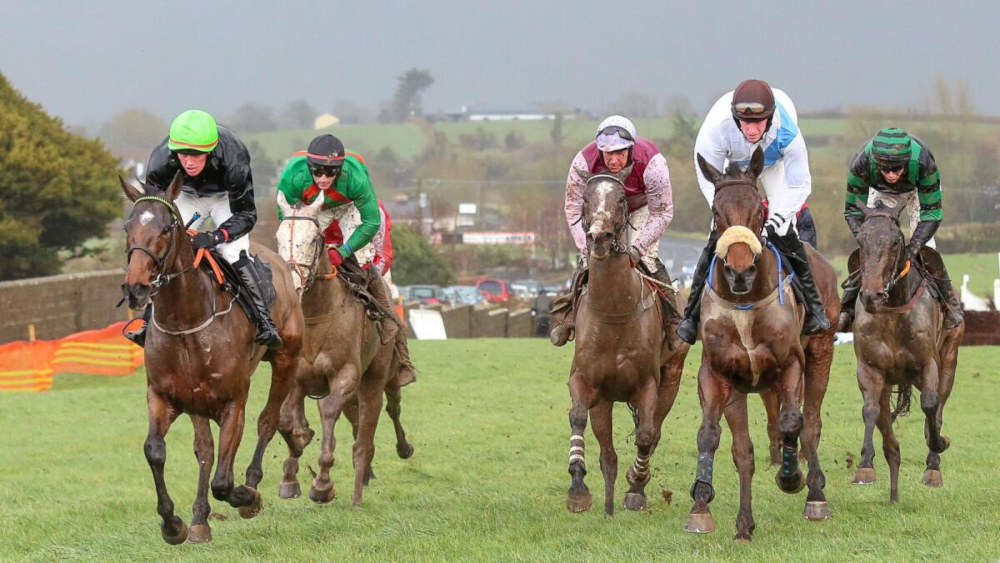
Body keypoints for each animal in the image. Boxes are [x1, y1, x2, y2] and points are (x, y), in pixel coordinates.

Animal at [119, 176, 302, 548]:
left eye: (166, 227)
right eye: (128, 227)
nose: (135, 288)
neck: (186, 319)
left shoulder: (233, 401)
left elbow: (224, 482)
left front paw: (248, 497)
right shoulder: (167, 396)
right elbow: (158, 450)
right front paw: (174, 524)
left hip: (286, 358)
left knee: (268, 420)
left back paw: (254, 482)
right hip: (198, 401)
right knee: (205, 448)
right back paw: (200, 519)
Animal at [564, 171, 688, 516]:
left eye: (620, 199)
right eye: (585, 199)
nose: (599, 238)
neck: (615, 312)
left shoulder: (647, 384)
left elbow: (645, 435)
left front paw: (636, 485)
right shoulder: (584, 380)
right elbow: (577, 418)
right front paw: (578, 489)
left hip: (672, 378)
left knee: (654, 431)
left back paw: (635, 488)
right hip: (605, 399)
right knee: (608, 454)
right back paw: (607, 505)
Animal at [684, 149, 840, 540]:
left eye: (759, 211)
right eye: (716, 212)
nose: (740, 272)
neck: (745, 303)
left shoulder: (791, 366)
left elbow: (792, 422)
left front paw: (790, 477)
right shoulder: (718, 374)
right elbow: (716, 438)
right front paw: (703, 505)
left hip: (821, 351)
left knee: (810, 422)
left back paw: (815, 493)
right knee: (751, 443)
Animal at [848, 200, 964, 500]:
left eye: (894, 242)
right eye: (861, 241)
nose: (871, 296)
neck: (892, 309)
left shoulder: (928, 365)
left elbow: (931, 405)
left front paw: (938, 445)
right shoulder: (870, 368)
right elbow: (870, 410)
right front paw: (865, 466)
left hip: (950, 357)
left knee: (938, 406)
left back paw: (933, 467)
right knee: (885, 423)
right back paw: (893, 487)